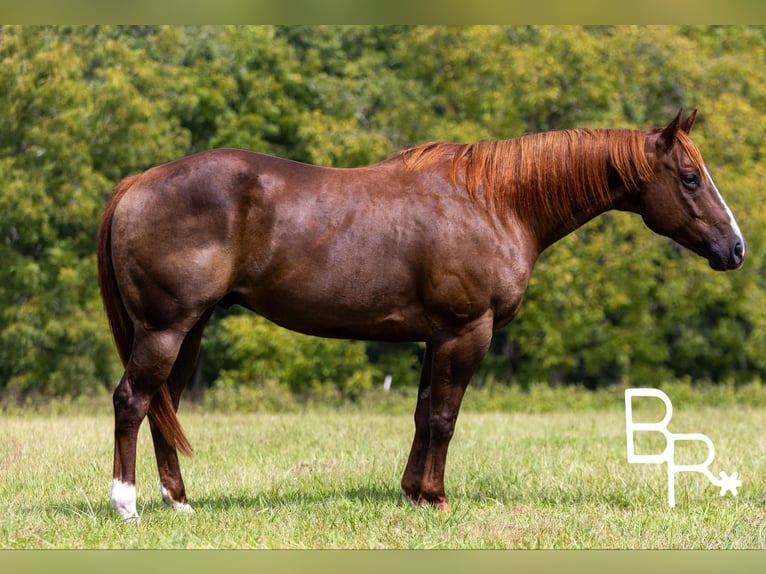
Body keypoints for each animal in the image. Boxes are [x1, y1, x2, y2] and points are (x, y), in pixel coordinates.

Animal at [99, 111, 748, 520]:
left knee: (163, 407)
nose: (736, 249)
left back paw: (179, 502)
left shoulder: (436, 337)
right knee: (132, 400)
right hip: (166, 329)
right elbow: (444, 418)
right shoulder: (467, 332)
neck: (494, 202)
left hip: (191, 330)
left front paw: (413, 493)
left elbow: (421, 414)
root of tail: (138, 181)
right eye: (691, 178)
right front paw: (436, 498)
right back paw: (126, 504)